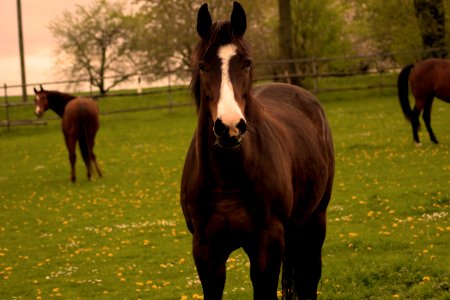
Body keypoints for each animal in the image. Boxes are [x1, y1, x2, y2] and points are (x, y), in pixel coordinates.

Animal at [180, 2, 334, 300]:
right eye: (202, 66)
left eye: (247, 62)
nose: (229, 126)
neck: (228, 178)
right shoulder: (206, 251)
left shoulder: (267, 245)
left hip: (315, 222)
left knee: (309, 280)